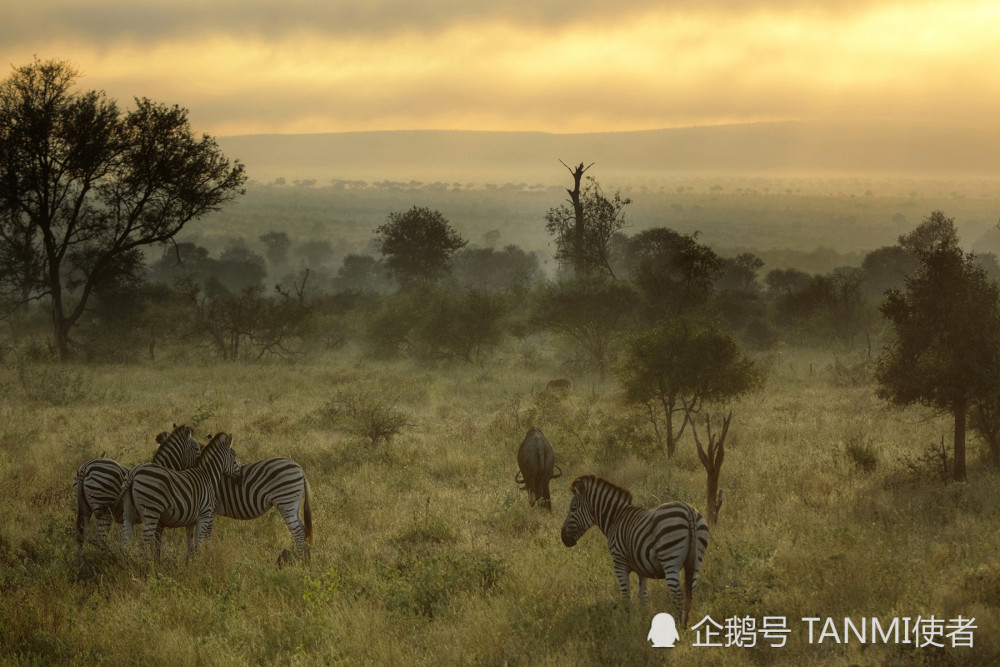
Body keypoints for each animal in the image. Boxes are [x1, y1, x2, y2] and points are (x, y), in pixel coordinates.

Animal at [73, 422, 200, 552]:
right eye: (197, 449)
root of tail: (86, 468)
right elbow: (156, 543)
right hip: (104, 509)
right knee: (99, 540)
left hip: (84, 507)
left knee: (81, 537)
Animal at [121, 434, 242, 564]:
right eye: (234, 455)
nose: (240, 476)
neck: (208, 475)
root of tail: (134, 471)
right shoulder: (204, 515)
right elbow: (198, 543)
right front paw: (198, 563)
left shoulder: (191, 521)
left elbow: (190, 544)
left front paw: (188, 563)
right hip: (151, 511)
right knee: (145, 543)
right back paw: (147, 565)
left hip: (129, 512)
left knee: (124, 538)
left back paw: (122, 560)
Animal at [564, 474, 712, 628]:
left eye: (573, 508)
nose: (563, 539)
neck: (615, 519)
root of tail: (689, 510)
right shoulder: (643, 568)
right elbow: (642, 596)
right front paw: (643, 620)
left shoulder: (619, 563)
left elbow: (626, 595)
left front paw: (628, 622)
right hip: (695, 562)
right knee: (690, 592)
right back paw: (685, 625)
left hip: (670, 560)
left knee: (678, 595)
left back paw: (677, 626)